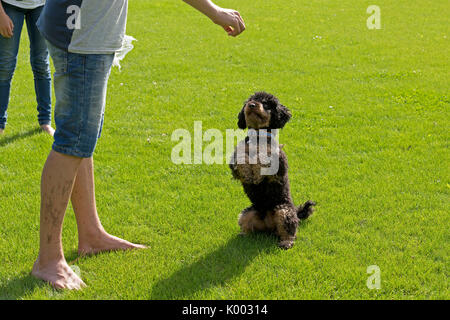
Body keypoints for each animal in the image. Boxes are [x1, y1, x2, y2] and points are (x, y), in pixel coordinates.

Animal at [230, 91, 314, 249]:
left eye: (267, 103)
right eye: (250, 100)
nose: (251, 105)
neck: (258, 137)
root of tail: (268, 224)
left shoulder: (279, 163)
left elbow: (264, 158)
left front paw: (257, 173)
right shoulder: (235, 159)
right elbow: (242, 158)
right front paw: (249, 175)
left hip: (284, 211)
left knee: (290, 230)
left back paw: (286, 242)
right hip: (247, 213)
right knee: (248, 226)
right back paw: (243, 235)